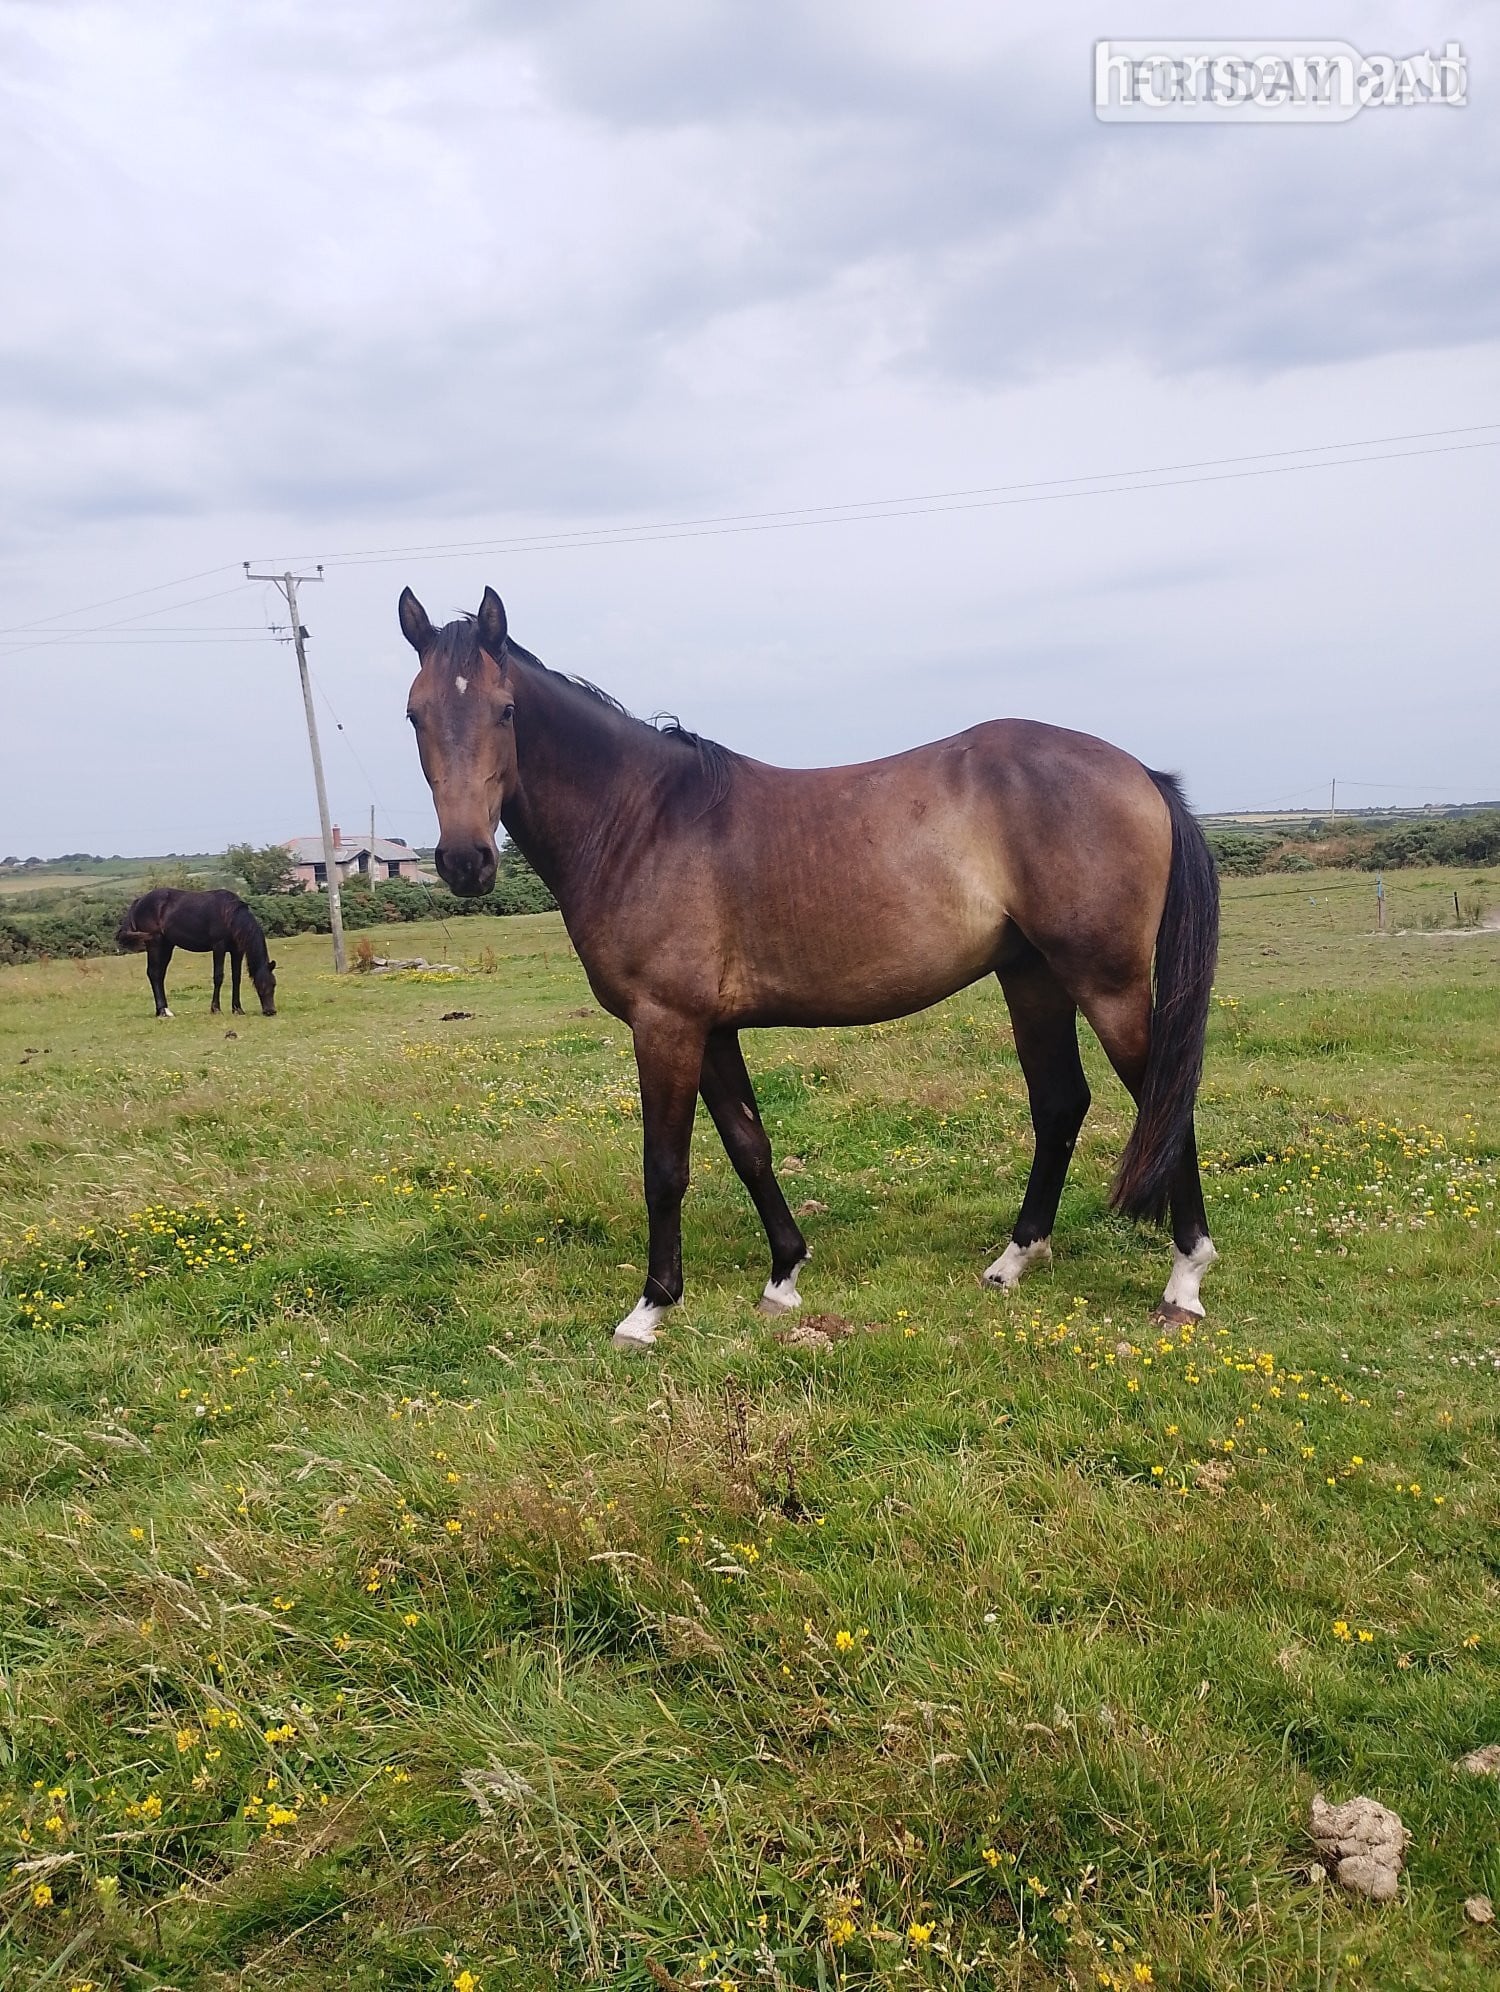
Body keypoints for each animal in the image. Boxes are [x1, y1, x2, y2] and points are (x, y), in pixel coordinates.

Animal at [115, 888, 277, 1019]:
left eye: (274, 984)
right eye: (260, 985)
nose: (271, 1011)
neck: (230, 915)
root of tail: (139, 901)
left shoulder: (237, 951)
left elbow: (236, 978)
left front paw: (237, 1009)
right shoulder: (219, 947)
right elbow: (218, 977)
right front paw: (216, 1009)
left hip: (167, 946)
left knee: (159, 975)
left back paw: (165, 1010)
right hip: (154, 944)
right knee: (153, 973)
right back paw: (162, 1011)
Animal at [400, 585, 1220, 1351]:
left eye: (506, 710)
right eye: (414, 715)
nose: (465, 862)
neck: (641, 822)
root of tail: (1140, 773)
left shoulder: (665, 1024)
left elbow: (665, 1166)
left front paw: (651, 1306)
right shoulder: (712, 1028)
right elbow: (750, 1147)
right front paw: (783, 1276)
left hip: (1106, 984)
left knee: (1163, 1102)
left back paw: (1184, 1279)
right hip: (1034, 978)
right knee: (1059, 1104)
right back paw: (1014, 1261)